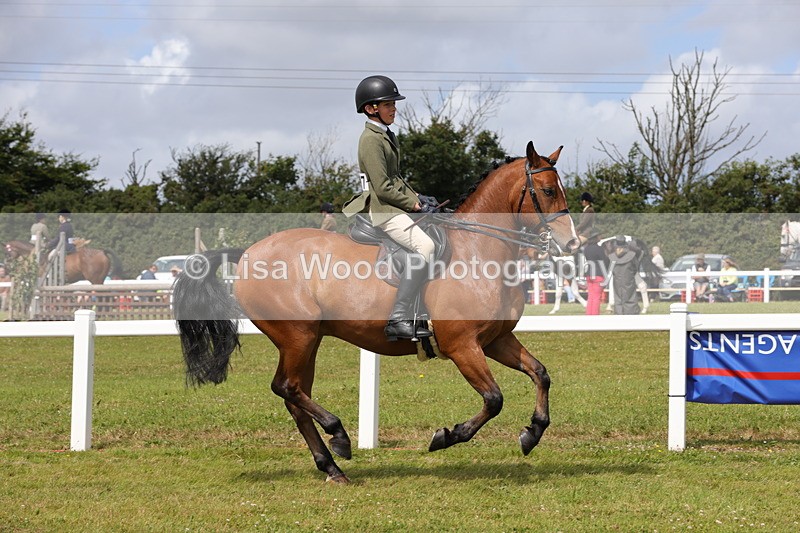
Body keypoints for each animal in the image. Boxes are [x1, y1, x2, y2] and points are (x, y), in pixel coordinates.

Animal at [174, 142, 580, 483]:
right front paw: (447, 436)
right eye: (547, 191)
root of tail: (247, 254)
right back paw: (339, 437)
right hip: (296, 336)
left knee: (294, 397)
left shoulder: (496, 340)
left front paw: (532, 433)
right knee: (286, 388)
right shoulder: (462, 346)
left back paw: (331, 466)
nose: (572, 242)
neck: (479, 250)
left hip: (308, 342)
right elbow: (494, 400)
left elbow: (540, 374)